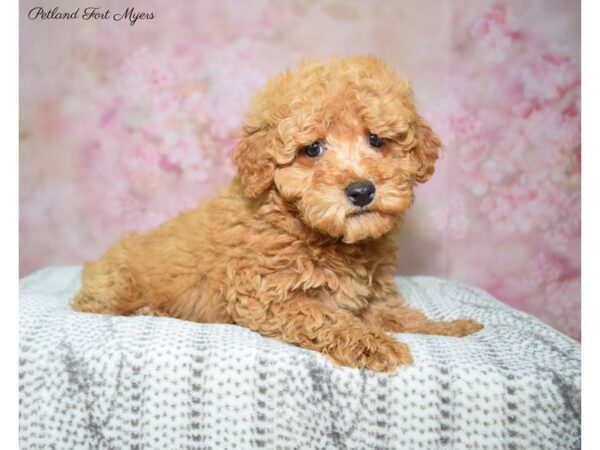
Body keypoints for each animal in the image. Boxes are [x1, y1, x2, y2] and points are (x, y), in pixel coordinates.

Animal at [71, 56, 482, 370]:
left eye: (377, 139)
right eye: (312, 149)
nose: (362, 191)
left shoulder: (372, 298)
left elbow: (404, 316)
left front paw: (453, 328)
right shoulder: (264, 294)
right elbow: (328, 317)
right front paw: (375, 344)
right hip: (114, 288)